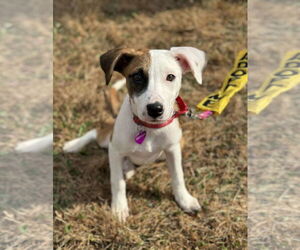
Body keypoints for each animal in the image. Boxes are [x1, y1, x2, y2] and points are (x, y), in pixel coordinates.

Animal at [63, 46, 206, 221]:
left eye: (171, 77)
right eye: (137, 76)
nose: (155, 109)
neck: (149, 128)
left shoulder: (173, 148)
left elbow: (178, 176)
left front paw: (184, 200)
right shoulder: (115, 150)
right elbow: (117, 181)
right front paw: (119, 207)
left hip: (177, 145)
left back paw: (129, 168)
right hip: (107, 140)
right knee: (96, 132)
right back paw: (73, 145)